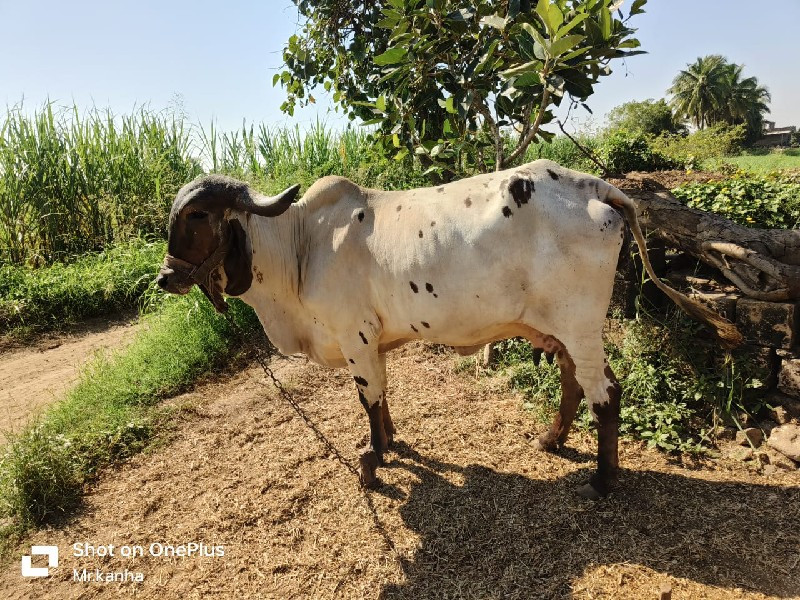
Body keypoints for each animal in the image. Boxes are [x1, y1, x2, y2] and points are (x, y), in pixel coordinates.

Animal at [159, 158, 740, 496]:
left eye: (196, 217)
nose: (166, 277)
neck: (300, 246)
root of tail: (593, 187)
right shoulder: (374, 343)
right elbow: (382, 399)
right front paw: (391, 442)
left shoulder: (355, 338)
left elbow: (368, 400)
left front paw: (373, 461)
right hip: (561, 329)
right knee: (574, 384)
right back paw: (552, 441)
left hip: (580, 324)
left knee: (605, 394)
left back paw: (601, 480)